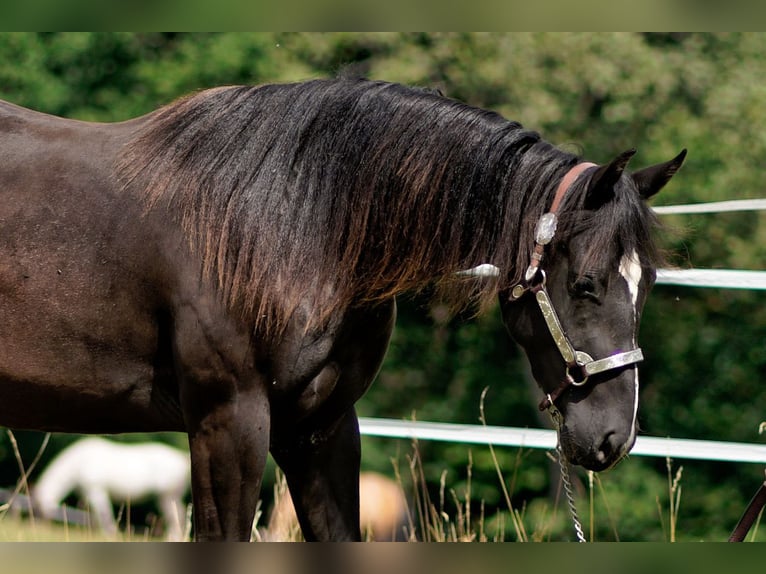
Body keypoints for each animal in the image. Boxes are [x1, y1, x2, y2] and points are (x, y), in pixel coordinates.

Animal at [32, 437, 190, 540]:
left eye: (39, 508)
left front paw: (111, 534)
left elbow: (104, 514)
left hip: (167, 496)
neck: (79, 463)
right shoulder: (89, 495)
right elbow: (95, 517)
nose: (39, 526)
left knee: (177, 516)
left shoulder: (96, 491)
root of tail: (182, 458)